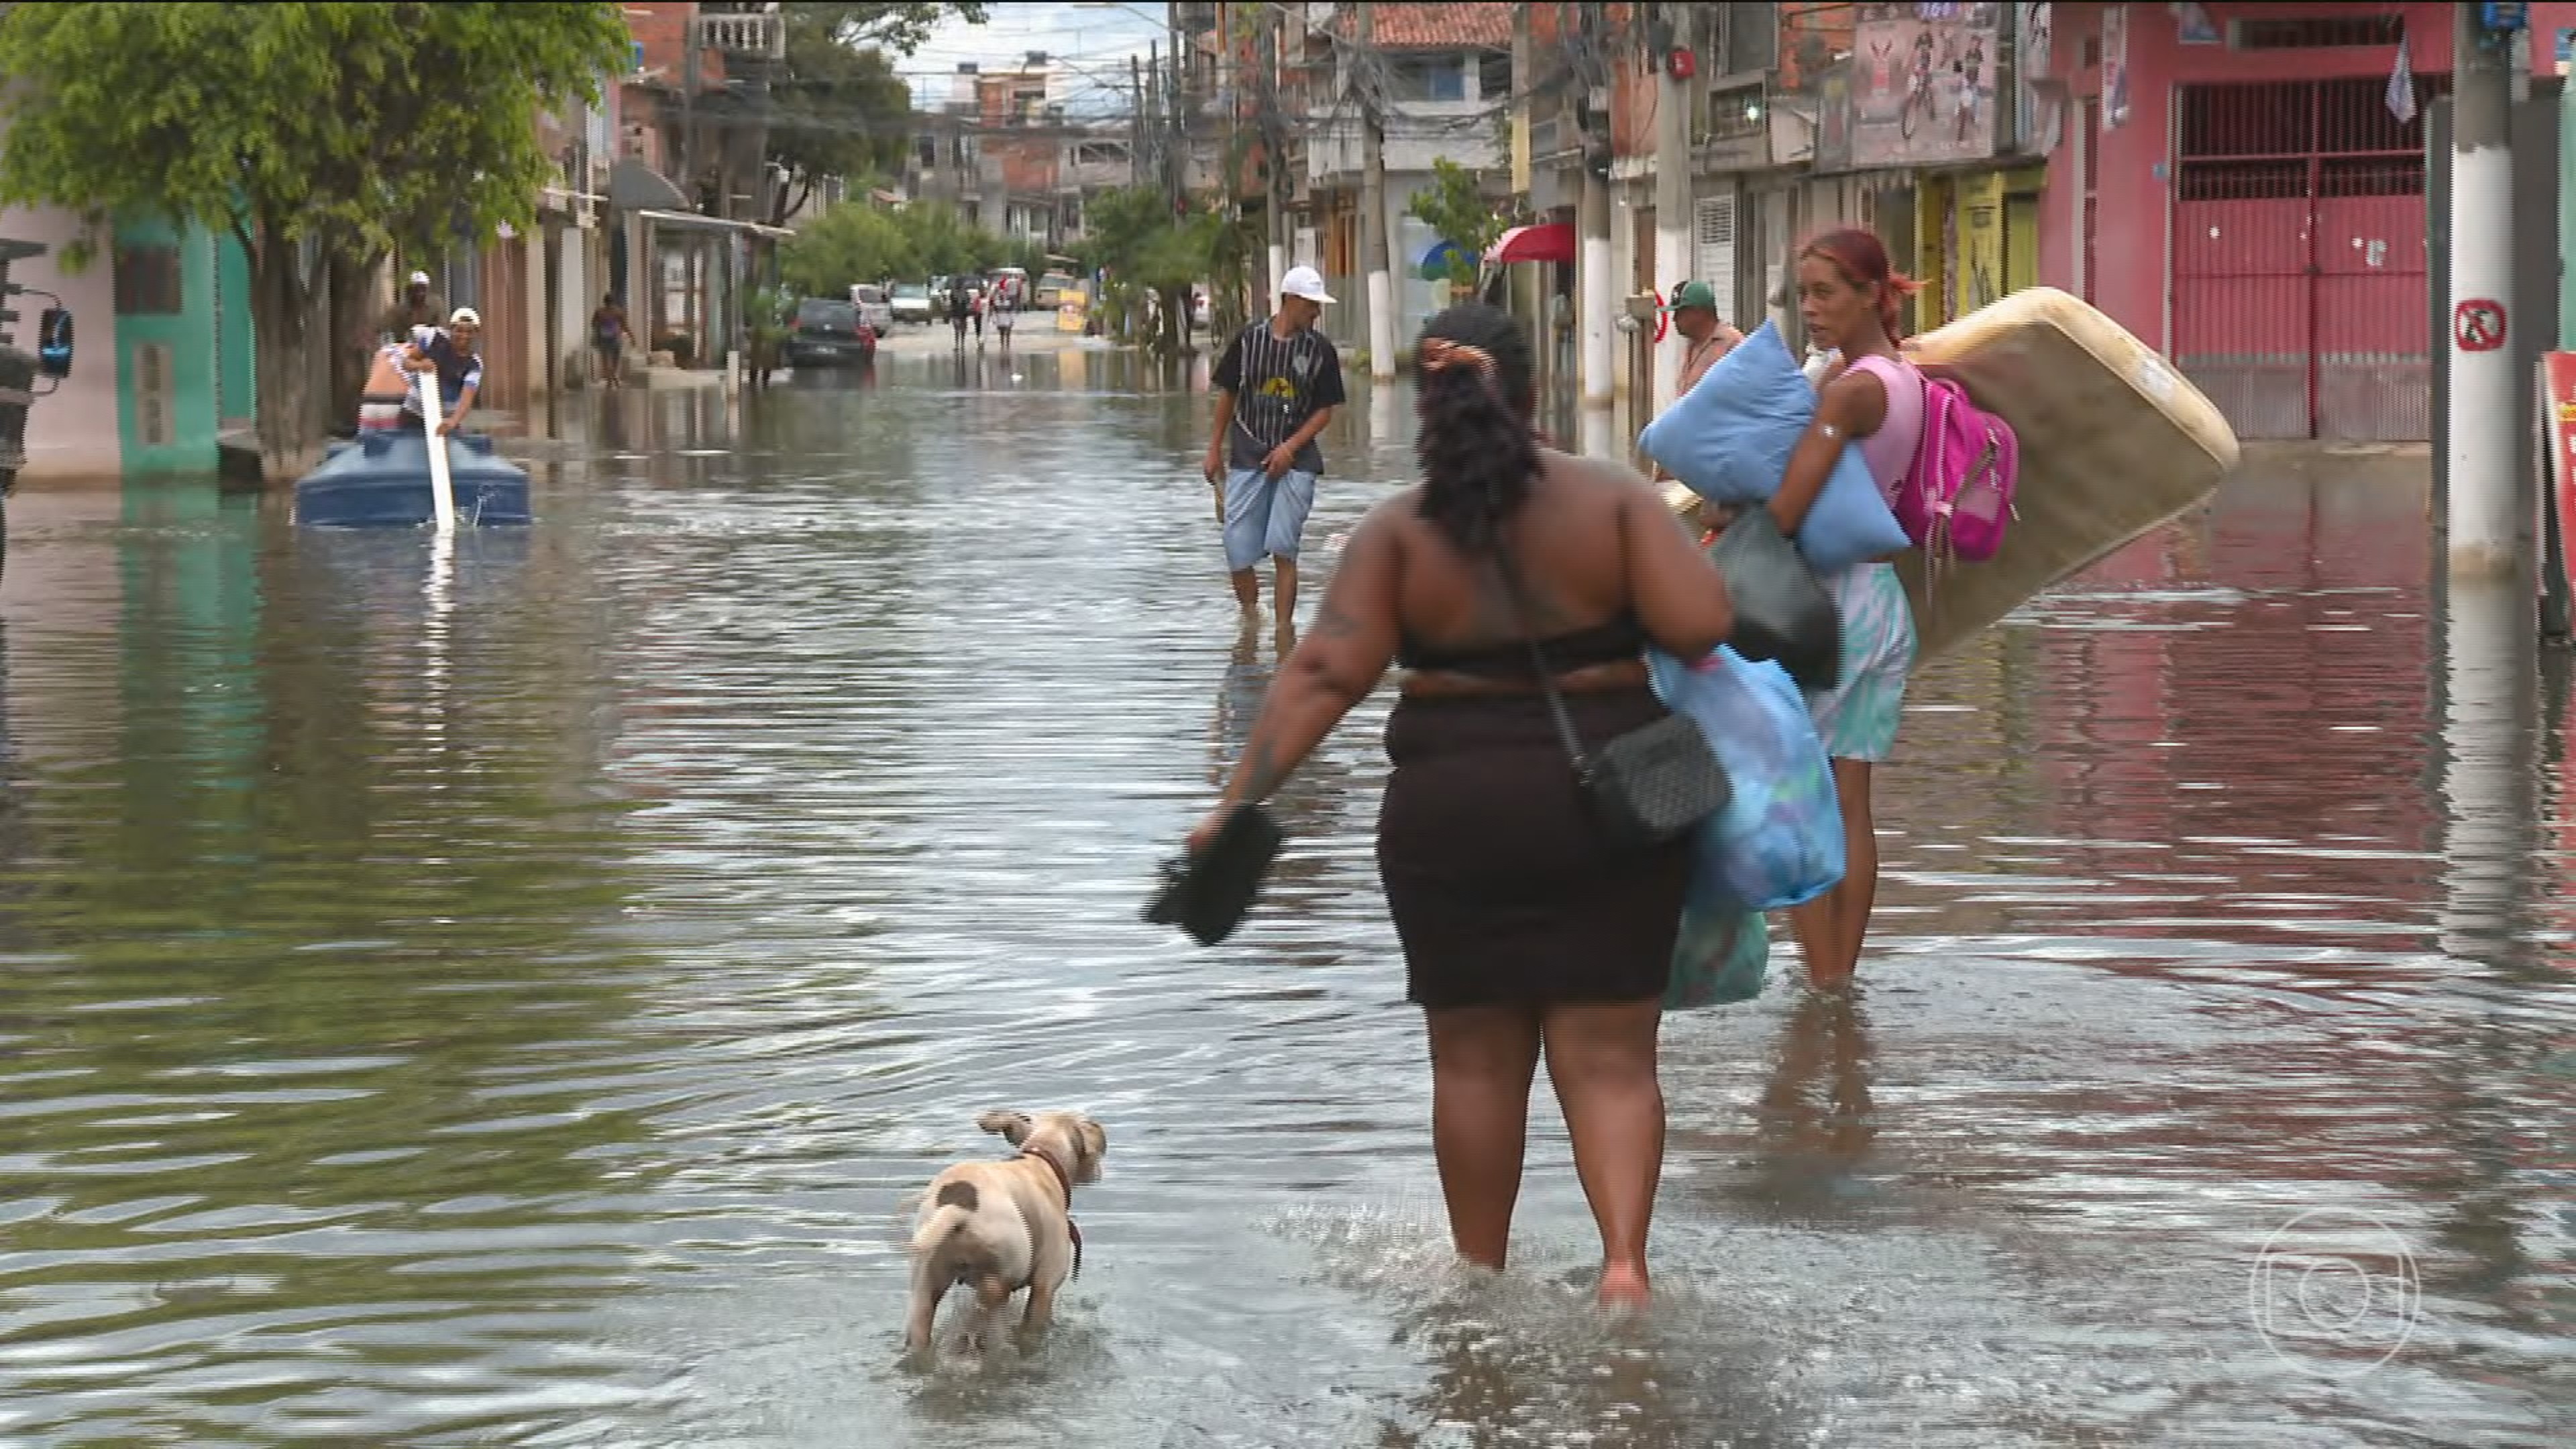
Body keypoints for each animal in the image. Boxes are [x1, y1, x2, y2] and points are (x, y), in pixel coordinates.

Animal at [906, 1103, 1108, 1350]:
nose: (1099, 1173)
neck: (1041, 1160)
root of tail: (957, 1207)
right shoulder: (1045, 1285)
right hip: (1004, 1269)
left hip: (925, 1285)